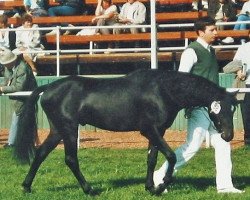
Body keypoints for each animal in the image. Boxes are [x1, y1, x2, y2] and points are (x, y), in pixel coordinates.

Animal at [13, 69, 236, 195]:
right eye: (220, 109)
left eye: (233, 109)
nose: (228, 136)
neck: (163, 90)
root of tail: (48, 88)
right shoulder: (149, 130)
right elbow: (171, 156)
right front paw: (161, 185)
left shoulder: (159, 131)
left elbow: (152, 159)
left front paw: (150, 187)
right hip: (68, 129)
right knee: (70, 159)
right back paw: (89, 190)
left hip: (58, 130)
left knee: (41, 153)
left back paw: (26, 186)